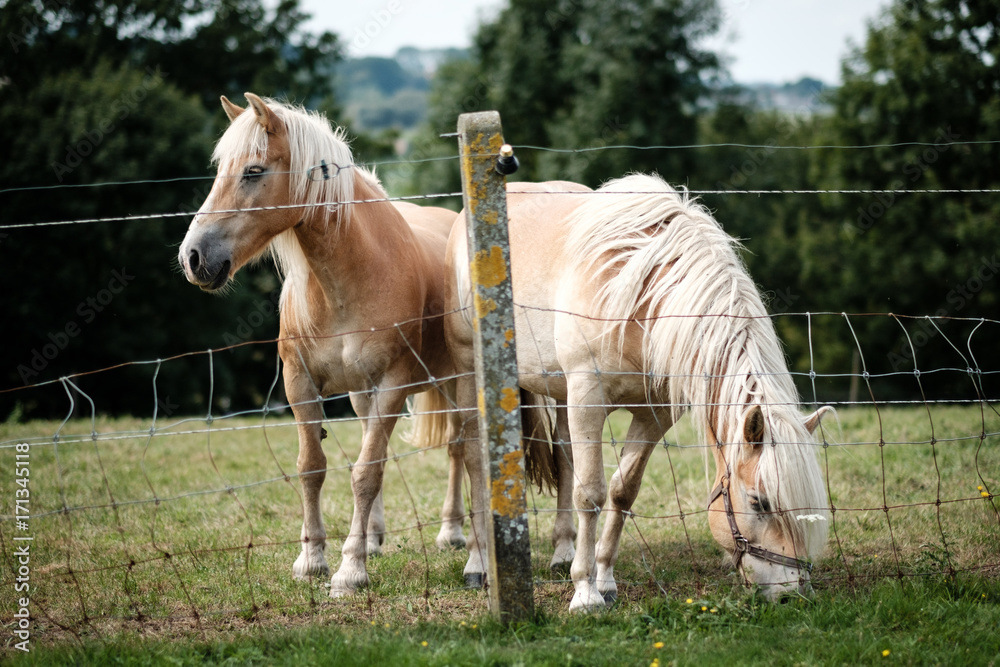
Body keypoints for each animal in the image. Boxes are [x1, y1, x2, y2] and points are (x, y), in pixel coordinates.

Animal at [177, 93, 467, 597]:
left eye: (253, 171)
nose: (193, 257)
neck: (348, 279)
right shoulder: (301, 384)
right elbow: (313, 466)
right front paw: (312, 559)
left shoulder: (393, 384)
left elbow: (366, 472)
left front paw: (350, 571)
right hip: (361, 393)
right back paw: (373, 537)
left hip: (448, 381)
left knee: (454, 448)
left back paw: (451, 532)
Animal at [444, 174, 832, 612]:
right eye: (758, 502)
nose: (791, 593)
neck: (643, 300)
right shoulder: (588, 398)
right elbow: (591, 493)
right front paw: (585, 594)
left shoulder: (652, 414)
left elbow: (622, 492)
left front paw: (606, 580)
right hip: (470, 370)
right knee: (473, 455)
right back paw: (478, 563)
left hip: (559, 394)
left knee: (563, 456)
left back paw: (561, 553)